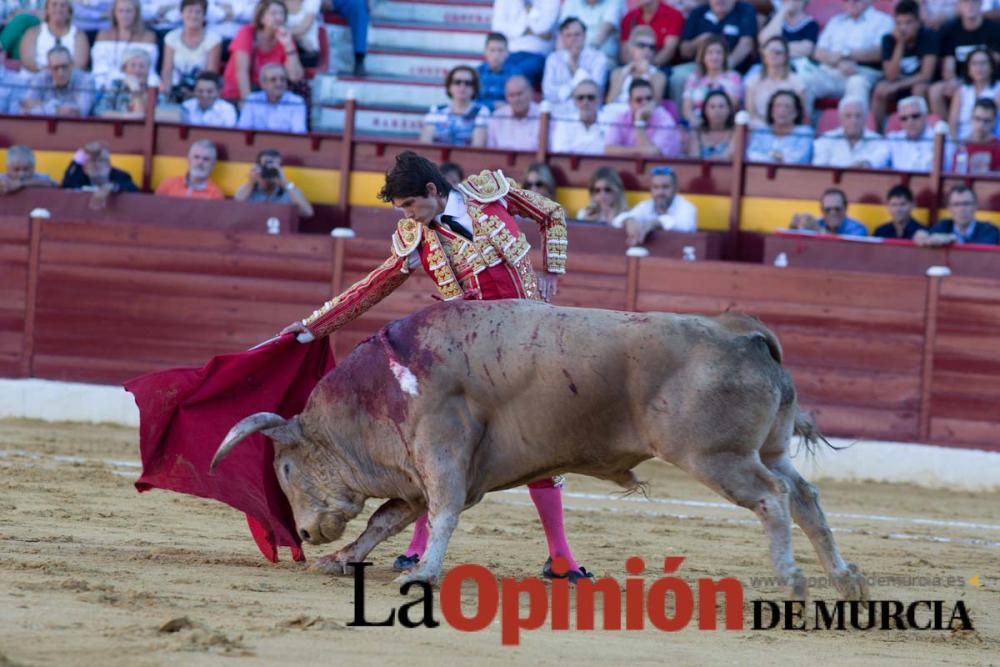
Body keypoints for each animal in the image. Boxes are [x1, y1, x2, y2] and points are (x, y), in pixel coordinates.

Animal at [211, 300, 868, 604]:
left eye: (286, 467)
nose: (304, 533)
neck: (386, 383)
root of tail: (745, 332)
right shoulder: (414, 474)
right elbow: (384, 520)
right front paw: (342, 559)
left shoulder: (440, 454)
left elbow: (441, 514)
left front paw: (422, 574)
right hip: (770, 447)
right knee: (805, 495)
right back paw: (844, 579)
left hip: (718, 458)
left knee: (772, 498)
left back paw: (792, 579)